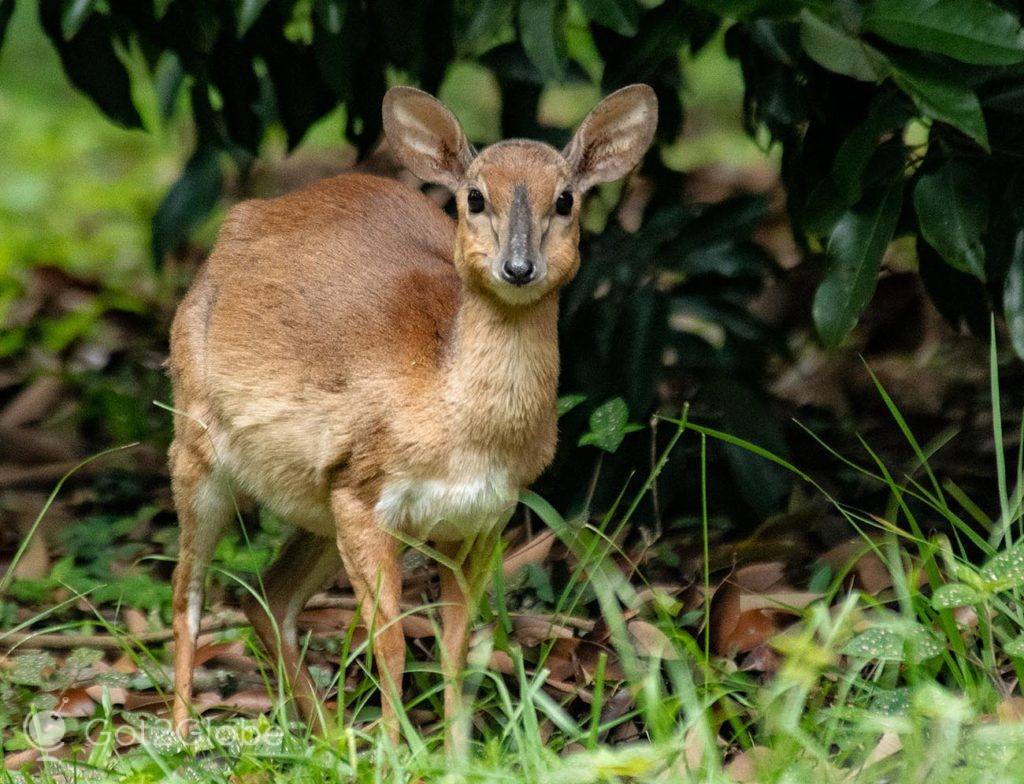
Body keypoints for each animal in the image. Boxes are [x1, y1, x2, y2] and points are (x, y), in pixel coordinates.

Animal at [167, 82, 655, 745]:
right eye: (474, 196)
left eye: (565, 199)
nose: (518, 267)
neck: (459, 428)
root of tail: (232, 230)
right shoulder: (361, 490)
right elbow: (393, 644)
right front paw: (396, 752)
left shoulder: (480, 519)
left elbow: (455, 648)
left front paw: (453, 752)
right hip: (196, 447)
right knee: (187, 593)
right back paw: (182, 734)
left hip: (314, 504)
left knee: (268, 596)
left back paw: (327, 734)